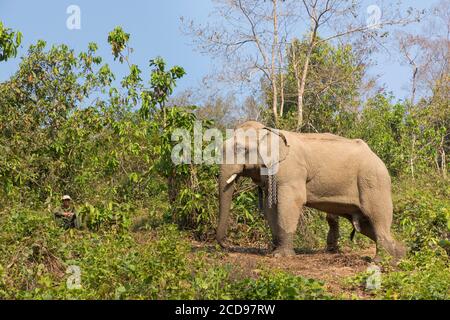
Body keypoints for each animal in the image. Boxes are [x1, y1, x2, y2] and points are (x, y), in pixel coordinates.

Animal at [216, 120, 406, 262]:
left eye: (241, 149)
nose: (225, 245)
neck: (270, 132)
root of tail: (377, 157)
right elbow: (271, 207)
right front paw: (273, 252)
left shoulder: (291, 171)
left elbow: (290, 202)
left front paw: (281, 256)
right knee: (366, 225)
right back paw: (400, 254)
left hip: (374, 182)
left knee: (377, 219)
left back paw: (381, 261)